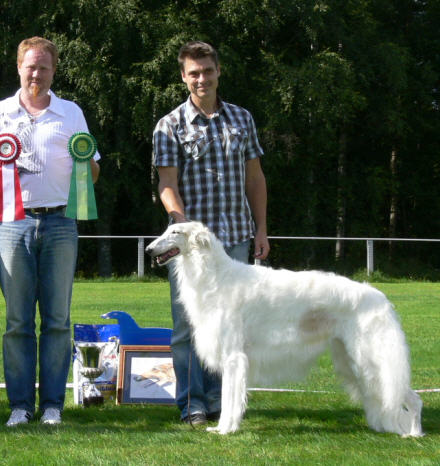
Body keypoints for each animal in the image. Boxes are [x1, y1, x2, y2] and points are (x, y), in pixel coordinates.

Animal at [147, 222, 422, 436]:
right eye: (165, 229)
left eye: (175, 232)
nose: (149, 249)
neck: (216, 277)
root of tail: (380, 297)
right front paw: (225, 427)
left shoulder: (234, 357)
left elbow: (229, 399)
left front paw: (225, 429)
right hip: (353, 360)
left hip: (373, 359)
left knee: (414, 399)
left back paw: (413, 434)